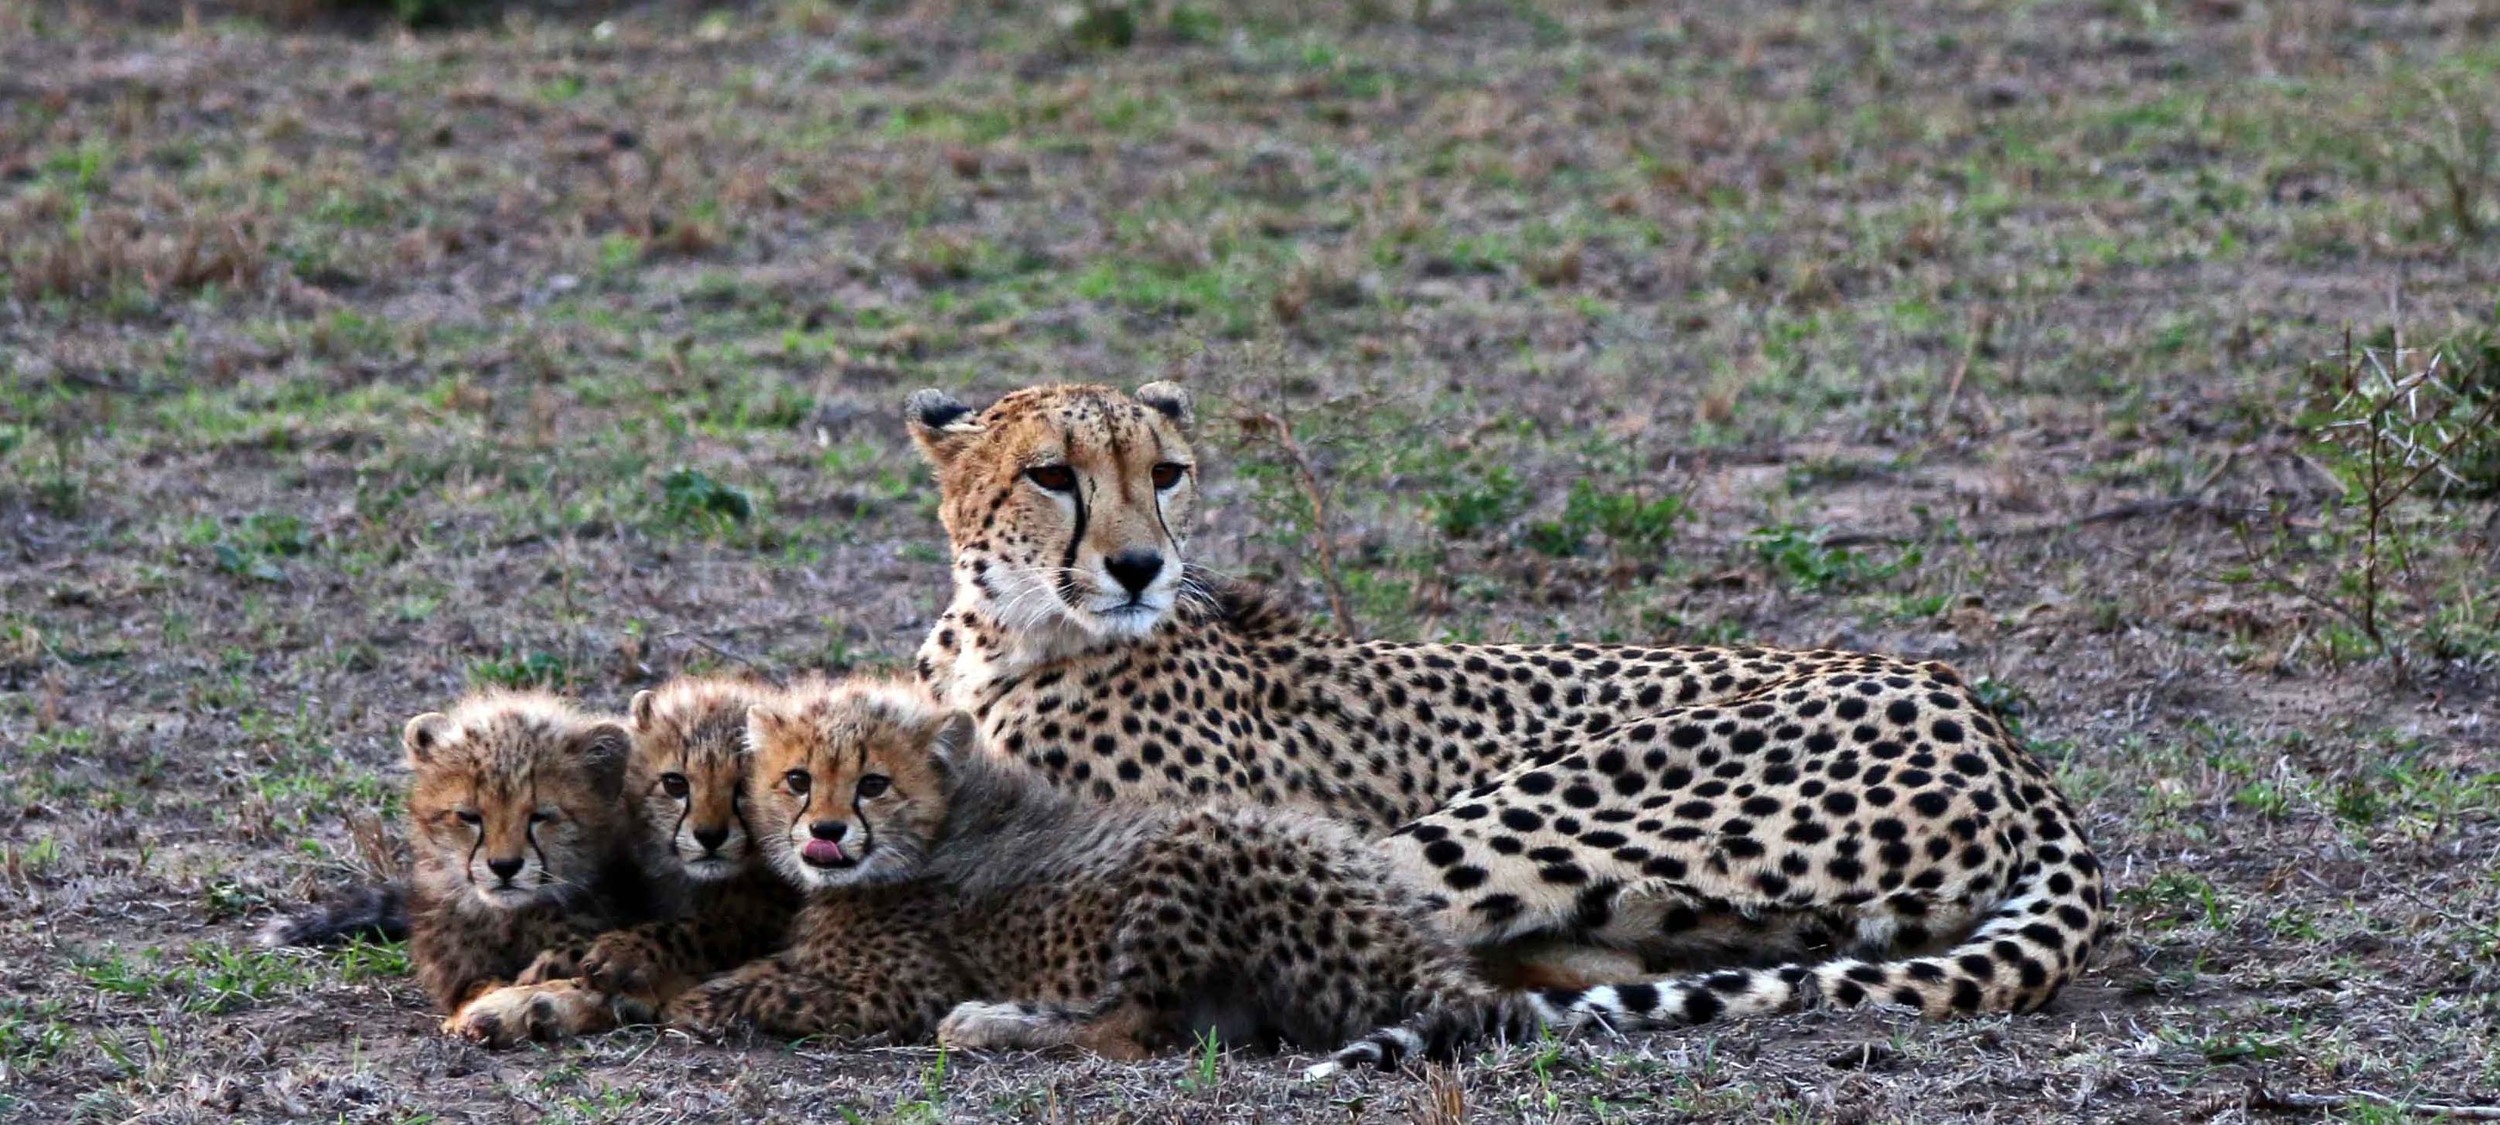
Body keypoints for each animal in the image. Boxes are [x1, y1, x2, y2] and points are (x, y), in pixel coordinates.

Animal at [662, 677, 1541, 1064]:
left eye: (873, 782)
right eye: (797, 778)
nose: (826, 830)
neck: (946, 817)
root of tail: (1413, 934)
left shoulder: (898, 987)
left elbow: (768, 985)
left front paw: (690, 1002)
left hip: (1193, 847)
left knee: (1134, 1027)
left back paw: (992, 1021)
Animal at [901, 380, 2111, 1044]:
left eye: (1166, 473)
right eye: (1052, 475)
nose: (1142, 565)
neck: (1003, 633)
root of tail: (1995, 726)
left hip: (1556, 800)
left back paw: (1007, 1023)